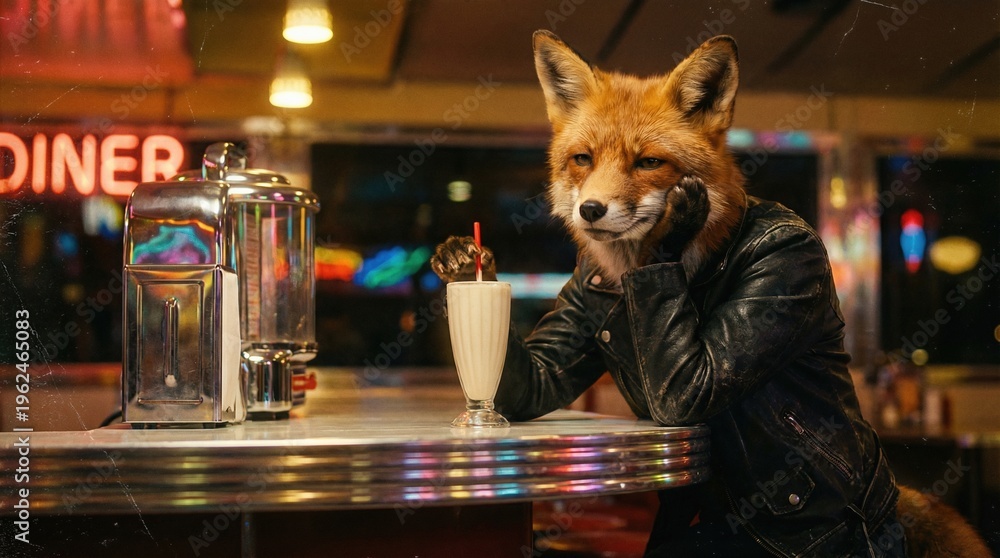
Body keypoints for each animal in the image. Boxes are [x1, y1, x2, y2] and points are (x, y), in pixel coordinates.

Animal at [432, 30, 992, 557]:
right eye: (583, 159)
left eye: (648, 163)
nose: (590, 210)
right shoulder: (577, 295)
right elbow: (534, 381)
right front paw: (465, 260)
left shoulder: (779, 267)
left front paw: (676, 225)